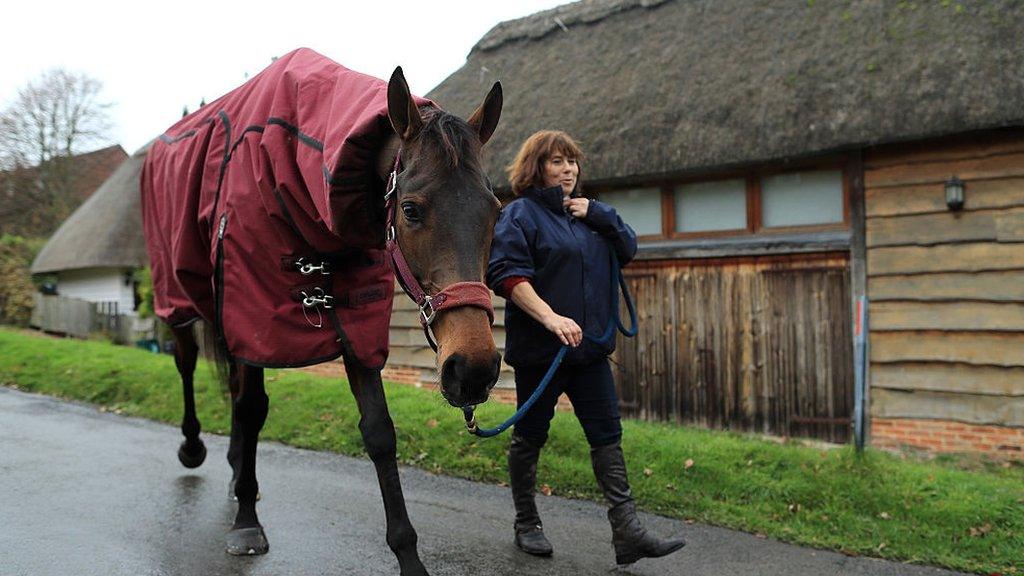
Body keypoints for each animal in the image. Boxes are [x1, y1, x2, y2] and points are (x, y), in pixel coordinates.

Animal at [143, 47, 503, 569]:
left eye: (495, 210)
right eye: (410, 209)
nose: (473, 368)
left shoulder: (356, 331)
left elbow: (379, 431)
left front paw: (408, 555)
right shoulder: (252, 315)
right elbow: (252, 407)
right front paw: (247, 521)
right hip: (180, 297)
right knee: (188, 362)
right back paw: (195, 448)